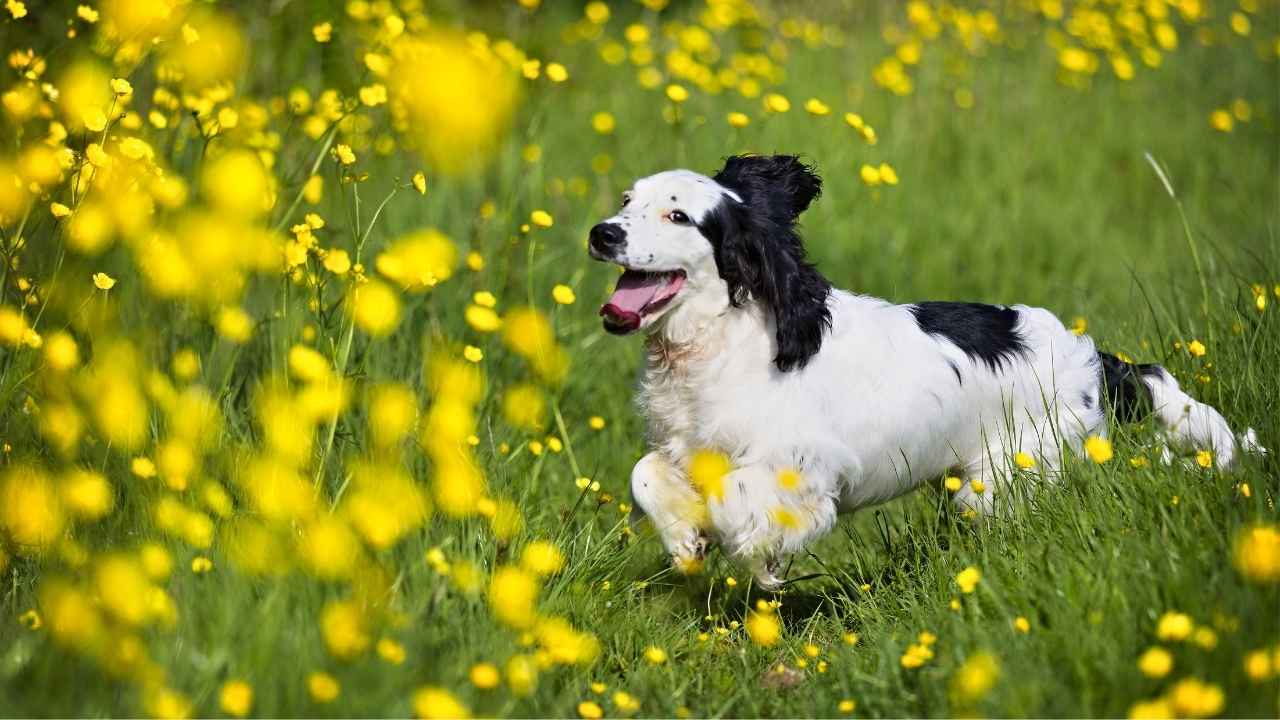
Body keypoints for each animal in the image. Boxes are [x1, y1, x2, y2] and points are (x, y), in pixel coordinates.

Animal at [586, 154, 1259, 586]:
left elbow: (737, 499)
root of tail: (1097, 361)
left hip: (1009, 474)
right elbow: (646, 473)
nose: (602, 233)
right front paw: (686, 538)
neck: (720, 343)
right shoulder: (685, 443)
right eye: (627, 201)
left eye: (678, 216)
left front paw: (758, 557)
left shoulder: (803, 461)